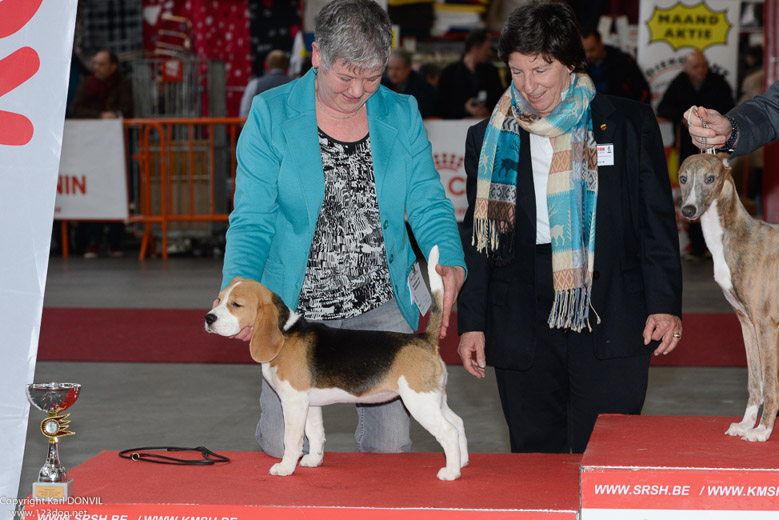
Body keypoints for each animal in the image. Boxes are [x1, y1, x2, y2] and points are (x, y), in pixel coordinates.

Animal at [204, 246, 466, 482]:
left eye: (236, 305)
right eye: (220, 299)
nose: (208, 318)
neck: (285, 333)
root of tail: (424, 338)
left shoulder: (293, 401)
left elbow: (292, 439)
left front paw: (286, 467)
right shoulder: (309, 403)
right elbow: (315, 433)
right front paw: (313, 460)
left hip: (419, 401)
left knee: (448, 431)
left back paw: (450, 472)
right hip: (435, 399)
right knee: (458, 423)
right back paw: (462, 461)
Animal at [676, 152, 779, 440]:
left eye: (710, 179)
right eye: (683, 178)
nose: (688, 211)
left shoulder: (767, 324)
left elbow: (770, 382)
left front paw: (763, 430)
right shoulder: (747, 322)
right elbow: (755, 381)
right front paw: (746, 424)